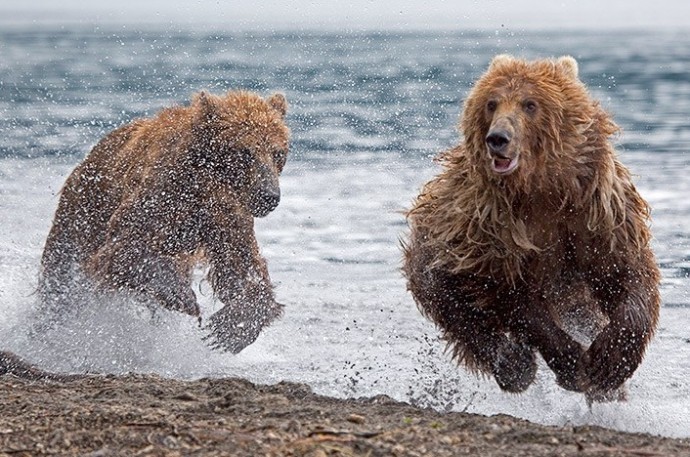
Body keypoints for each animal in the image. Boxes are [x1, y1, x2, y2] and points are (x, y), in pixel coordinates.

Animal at [37, 90, 290, 352]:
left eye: (277, 152)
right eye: (246, 152)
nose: (269, 196)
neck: (204, 183)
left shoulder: (226, 214)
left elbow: (241, 264)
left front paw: (232, 327)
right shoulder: (160, 195)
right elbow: (123, 251)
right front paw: (183, 296)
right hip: (80, 216)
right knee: (60, 280)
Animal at [404, 55, 660, 400]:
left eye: (530, 104)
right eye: (491, 103)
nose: (498, 138)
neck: (541, 188)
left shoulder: (596, 215)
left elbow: (625, 273)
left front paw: (608, 364)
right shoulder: (491, 230)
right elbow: (511, 296)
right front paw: (572, 363)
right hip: (436, 257)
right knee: (461, 312)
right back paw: (515, 365)